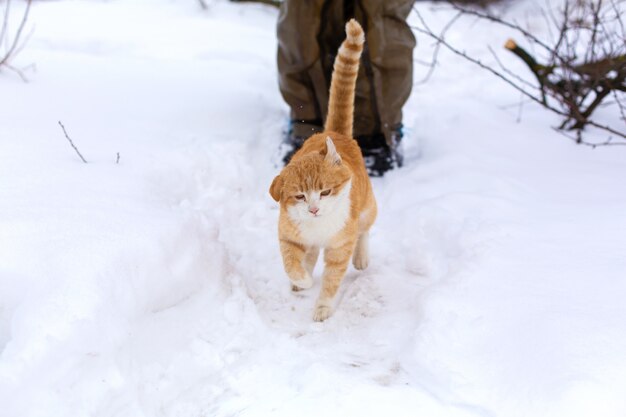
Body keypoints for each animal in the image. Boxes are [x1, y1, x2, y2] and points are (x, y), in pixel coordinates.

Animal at [268, 18, 376, 322]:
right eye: (300, 197)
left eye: (325, 192)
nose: (314, 209)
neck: (318, 226)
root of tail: (333, 132)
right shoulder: (288, 236)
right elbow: (292, 264)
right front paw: (302, 280)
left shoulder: (339, 247)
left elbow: (331, 281)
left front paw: (323, 307)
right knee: (310, 254)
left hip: (367, 207)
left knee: (365, 229)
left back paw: (361, 257)